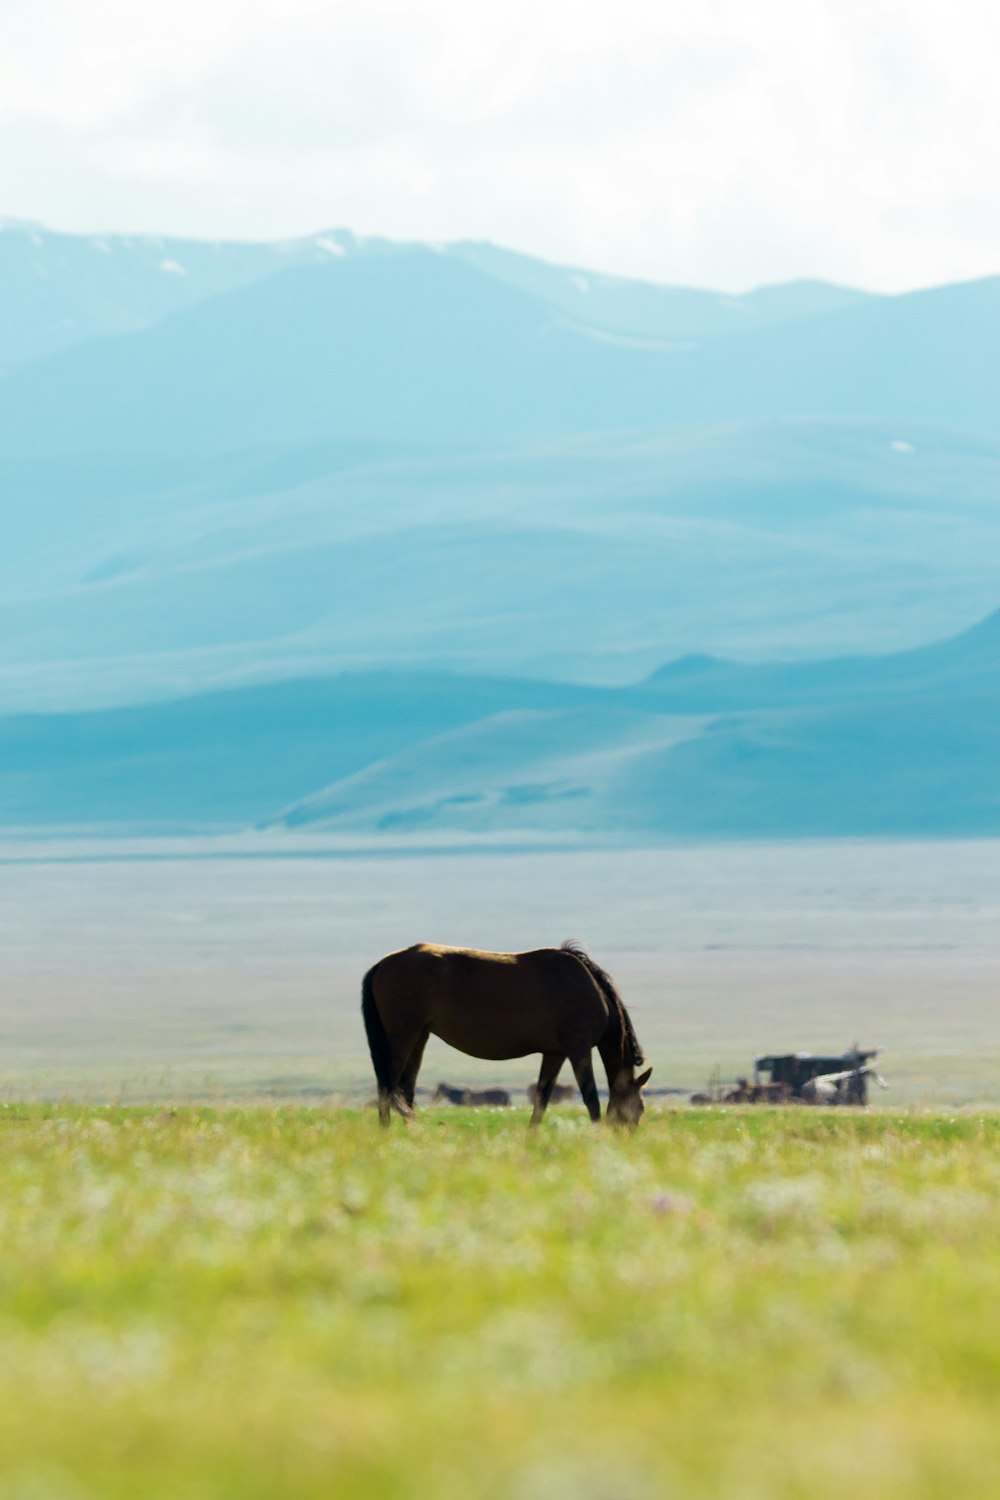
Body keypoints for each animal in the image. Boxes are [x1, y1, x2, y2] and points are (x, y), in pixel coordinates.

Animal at [358, 936, 650, 1128]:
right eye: (640, 1109)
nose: (626, 1138)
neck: (591, 990)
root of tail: (381, 965)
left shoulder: (554, 1054)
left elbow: (541, 1100)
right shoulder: (578, 1050)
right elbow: (591, 1099)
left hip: (419, 1036)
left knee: (404, 1090)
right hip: (401, 1037)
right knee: (387, 1087)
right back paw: (387, 1132)